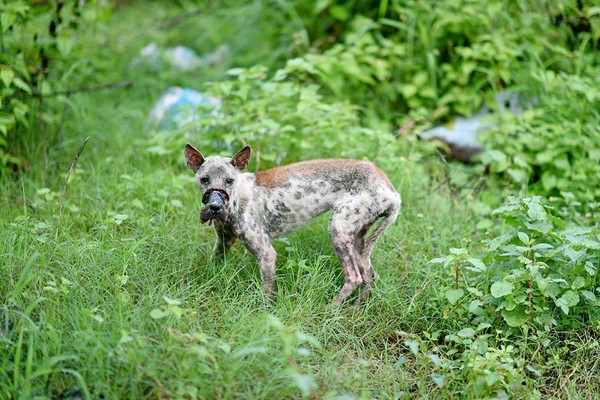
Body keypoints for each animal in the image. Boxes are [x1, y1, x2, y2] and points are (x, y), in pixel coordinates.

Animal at [185, 144, 400, 304]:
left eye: (230, 180)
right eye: (204, 179)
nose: (215, 207)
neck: (239, 195)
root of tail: (393, 194)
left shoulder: (266, 254)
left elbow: (268, 294)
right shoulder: (223, 242)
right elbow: (214, 265)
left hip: (338, 231)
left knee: (354, 278)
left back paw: (330, 309)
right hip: (355, 241)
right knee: (369, 276)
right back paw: (355, 309)